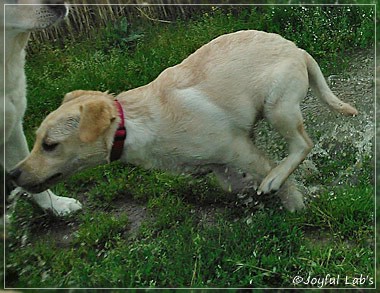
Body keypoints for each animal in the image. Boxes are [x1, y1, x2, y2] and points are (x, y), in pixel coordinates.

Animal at [9, 30, 360, 211]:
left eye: (50, 145)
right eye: (36, 140)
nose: (12, 174)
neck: (134, 124)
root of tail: (298, 49)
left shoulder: (237, 149)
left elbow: (274, 177)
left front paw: (294, 204)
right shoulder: (223, 165)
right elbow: (235, 183)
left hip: (278, 108)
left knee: (302, 143)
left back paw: (277, 176)